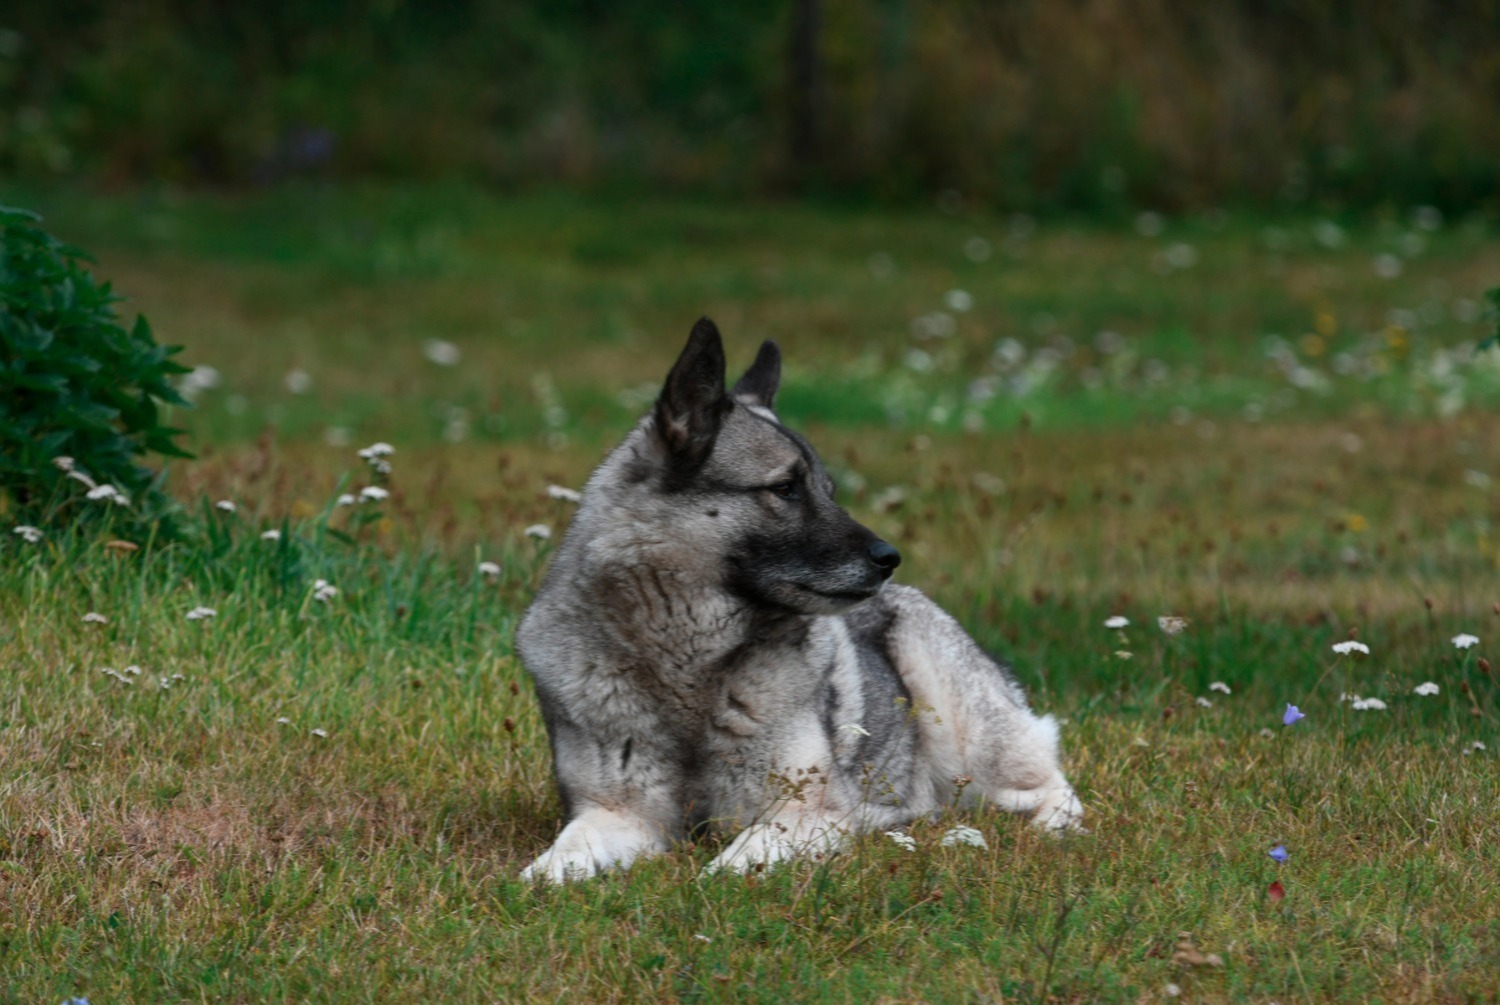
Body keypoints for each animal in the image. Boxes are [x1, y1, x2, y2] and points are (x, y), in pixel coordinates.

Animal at [516, 321, 1080, 882]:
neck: (689, 667)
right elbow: (553, 863)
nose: (890, 558)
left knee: (1051, 786)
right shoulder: (618, 814)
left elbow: (730, 865)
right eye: (786, 488)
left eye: (827, 491)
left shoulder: (804, 813)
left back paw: (1052, 827)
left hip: (964, 733)